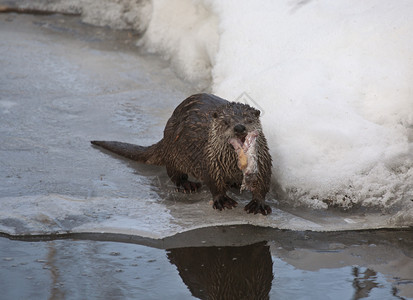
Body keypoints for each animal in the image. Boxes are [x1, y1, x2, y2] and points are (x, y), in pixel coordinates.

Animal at [90, 93, 272, 213]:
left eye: (248, 120)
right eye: (226, 122)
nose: (239, 127)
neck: (233, 163)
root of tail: (165, 137)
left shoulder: (262, 161)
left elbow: (262, 182)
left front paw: (258, 203)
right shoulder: (210, 161)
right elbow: (214, 182)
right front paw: (222, 200)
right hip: (174, 152)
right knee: (174, 174)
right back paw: (187, 185)